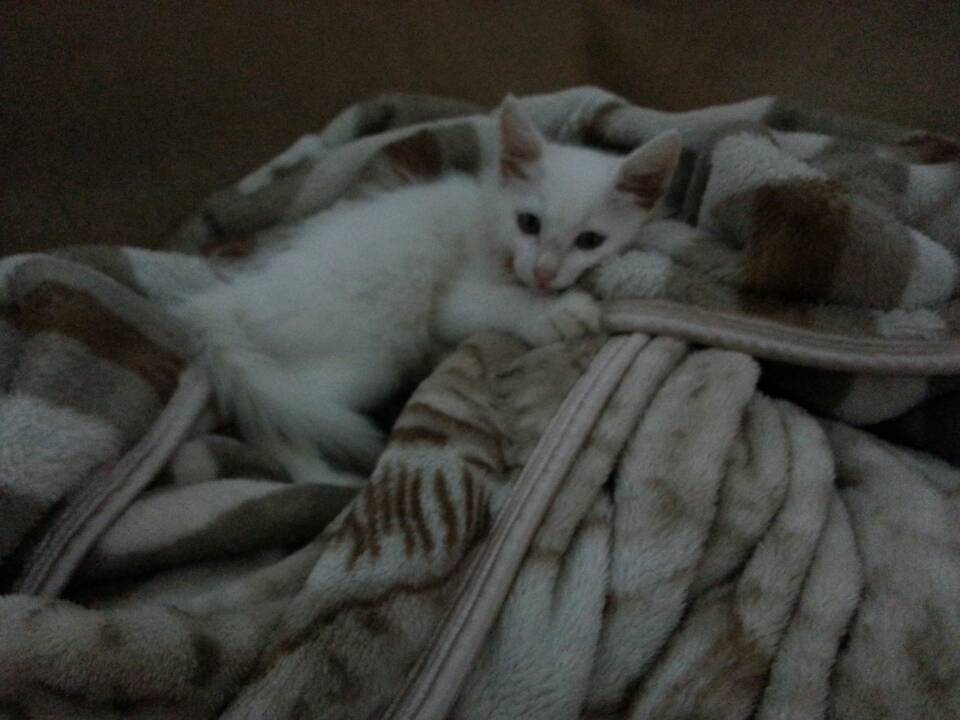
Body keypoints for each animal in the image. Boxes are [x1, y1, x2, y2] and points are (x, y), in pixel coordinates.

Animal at [177, 97, 681, 486]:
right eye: (529, 223)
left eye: (590, 241)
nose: (543, 273)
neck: (490, 220)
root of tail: (233, 298)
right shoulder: (454, 299)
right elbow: (492, 303)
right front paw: (555, 313)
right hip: (368, 355)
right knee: (276, 422)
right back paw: (323, 477)